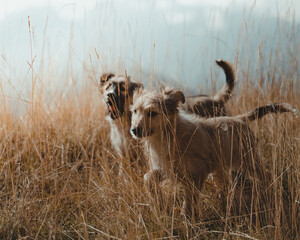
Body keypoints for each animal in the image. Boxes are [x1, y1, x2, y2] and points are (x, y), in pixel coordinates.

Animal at [129, 88, 298, 216]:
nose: (134, 130)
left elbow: (189, 200)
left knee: (267, 175)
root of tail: (239, 119)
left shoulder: (197, 174)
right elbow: (148, 177)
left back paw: (273, 193)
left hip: (249, 161)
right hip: (221, 170)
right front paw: (159, 203)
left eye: (152, 113)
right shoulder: (168, 168)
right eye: (135, 111)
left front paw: (186, 219)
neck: (169, 136)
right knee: (227, 187)